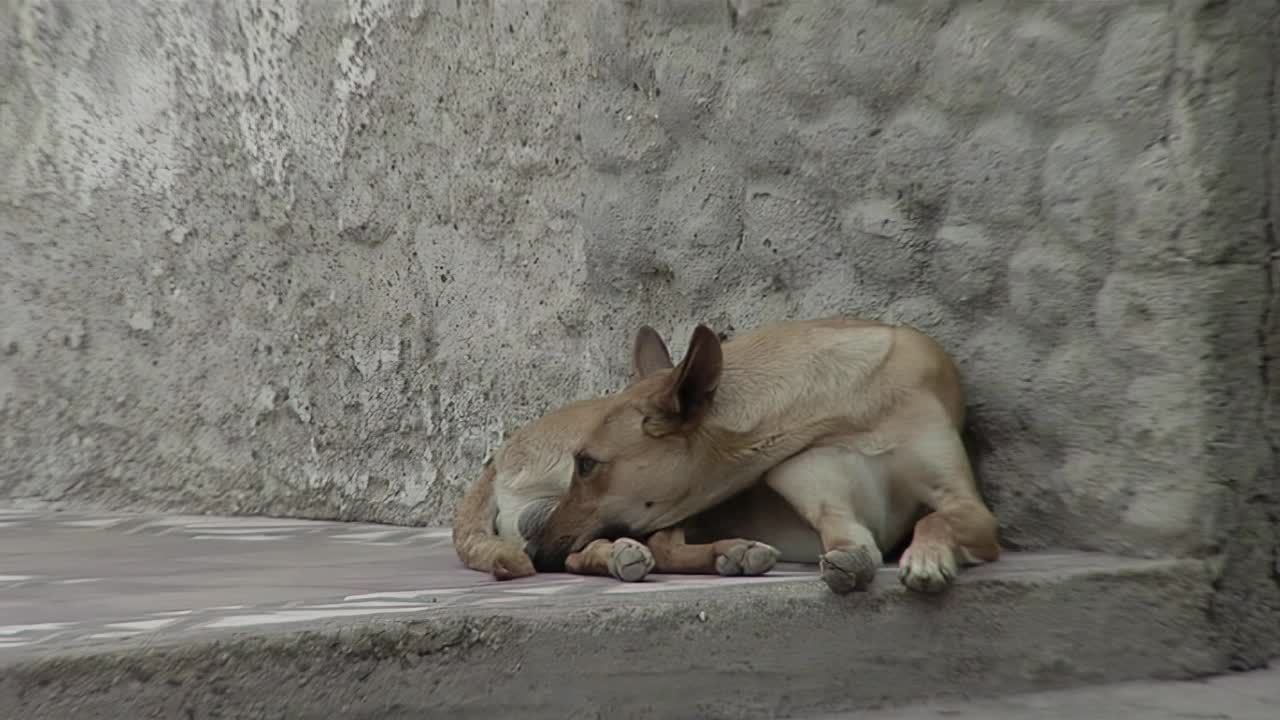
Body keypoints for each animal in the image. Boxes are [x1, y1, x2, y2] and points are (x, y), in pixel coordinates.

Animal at [450, 316, 998, 591]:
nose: (539, 553)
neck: (850, 403)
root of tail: (499, 455)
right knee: (638, 547)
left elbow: (937, 518)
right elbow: (848, 537)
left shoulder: (969, 505)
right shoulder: (824, 500)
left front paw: (926, 556)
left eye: (587, 465)